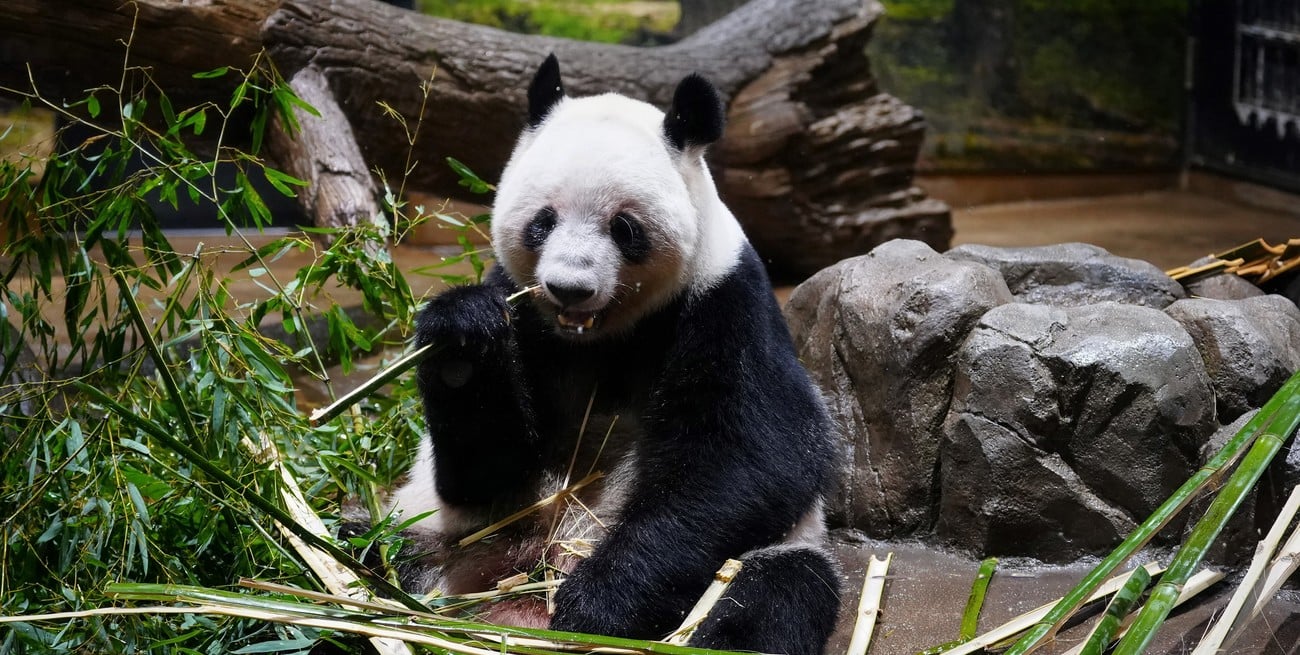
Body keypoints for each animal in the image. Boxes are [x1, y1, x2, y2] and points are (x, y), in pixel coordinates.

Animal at [385, 54, 841, 655]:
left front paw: (597, 604)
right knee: (366, 546)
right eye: (543, 221)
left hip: (769, 557)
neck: (600, 339)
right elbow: (486, 471)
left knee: (773, 596)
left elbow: (752, 456)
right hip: (434, 534)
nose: (568, 288)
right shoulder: (524, 316)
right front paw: (463, 337)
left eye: (624, 228)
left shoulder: (725, 304)